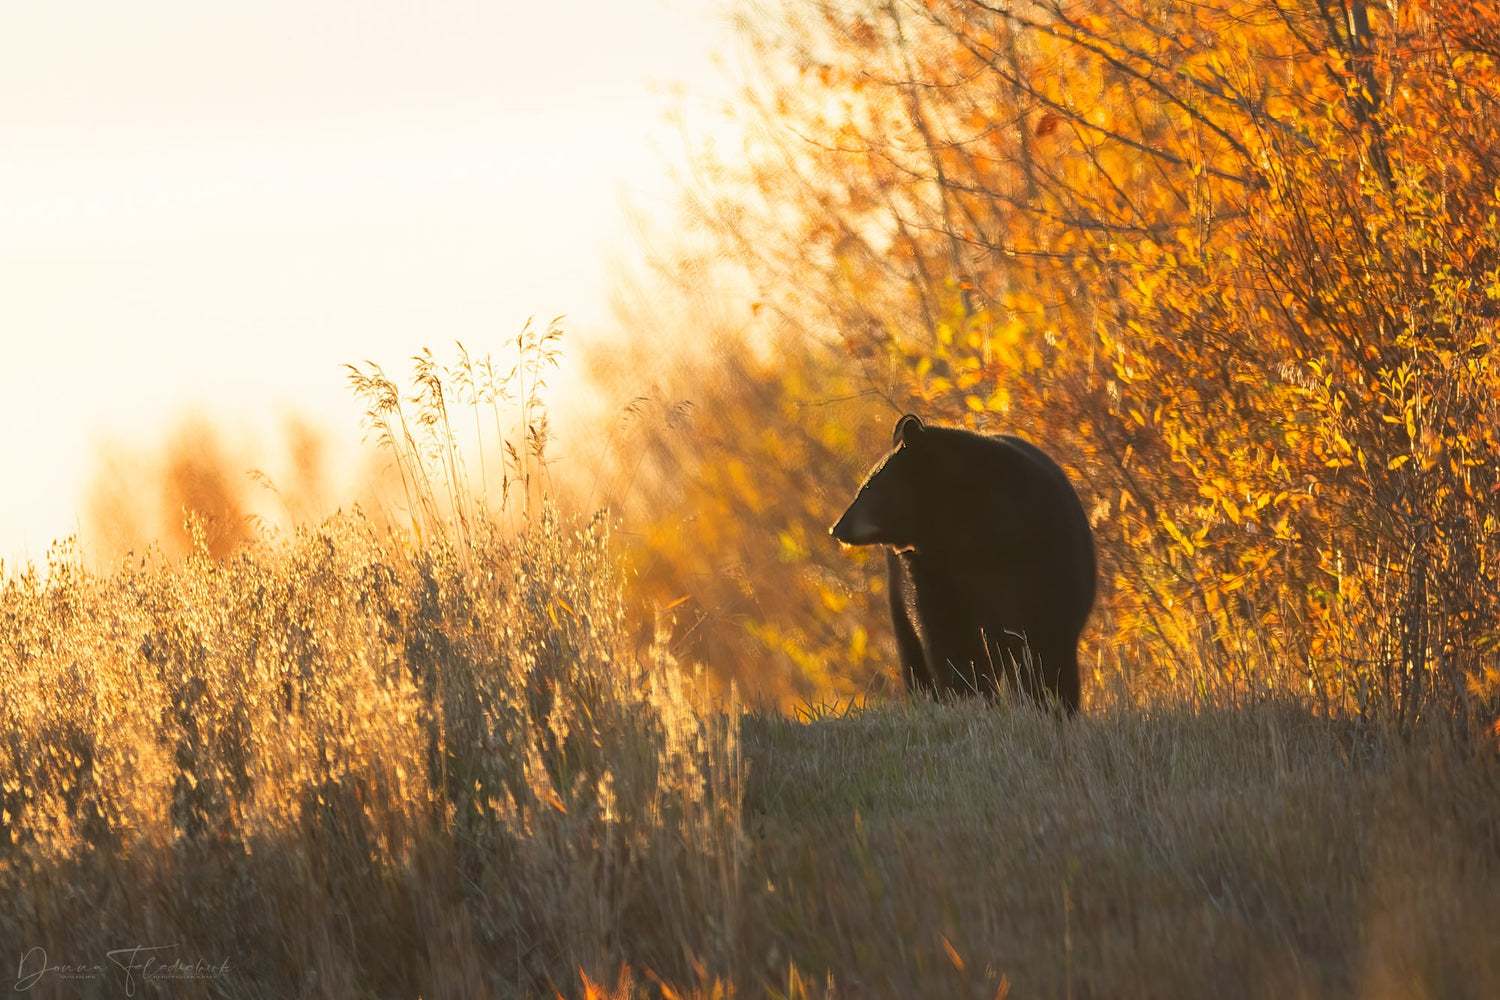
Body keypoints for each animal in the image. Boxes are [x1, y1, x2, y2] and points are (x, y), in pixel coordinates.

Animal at [834, 413, 1092, 710]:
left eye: (867, 487)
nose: (837, 528)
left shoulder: (1044, 554)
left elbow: (1048, 640)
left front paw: (1053, 703)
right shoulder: (934, 572)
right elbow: (951, 637)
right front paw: (972, 695)